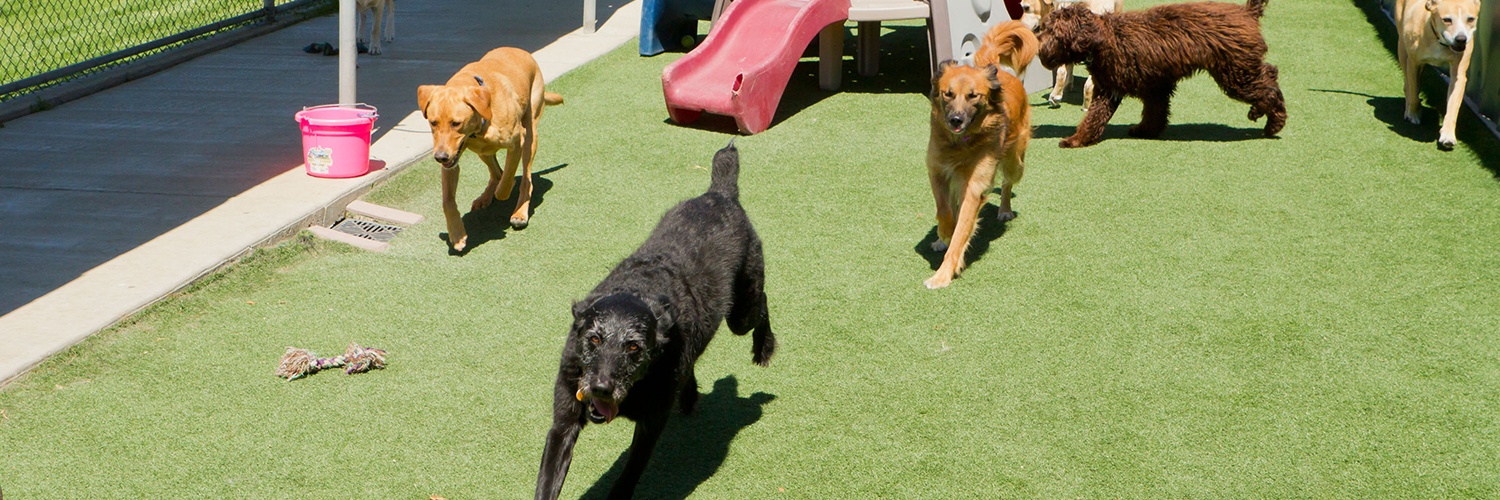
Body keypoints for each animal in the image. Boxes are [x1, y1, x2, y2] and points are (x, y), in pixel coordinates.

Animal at [417, 47, 563, 252]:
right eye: (433, 122)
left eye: (456, 123)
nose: (440, 157)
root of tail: (520, 51)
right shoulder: (452, 160)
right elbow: (447, 201)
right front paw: (457, 234)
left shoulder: (517, 142)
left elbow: (507, 178)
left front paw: (505, 191)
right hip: (482, 152)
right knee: (495, 172)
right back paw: (485, 197)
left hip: (530, 134)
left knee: (525, 178)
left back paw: (519, 211)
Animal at [535, 142, 777, 499]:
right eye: (593, 339)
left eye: (634, 347)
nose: (601, 388)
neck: (638, 290)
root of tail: (720, 193)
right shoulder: (563, 425)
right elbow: (547, 483)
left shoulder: (649, 427)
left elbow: (627, 478)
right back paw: (689, 396)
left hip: (741, 313)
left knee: (762, 303)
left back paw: (764, 348)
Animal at [925, 56, 1033, 289]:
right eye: (948, 93)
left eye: (973, 95)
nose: (956, 120)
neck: (960, 143)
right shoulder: (937, 170)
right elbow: (944, 211)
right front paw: (944, 233)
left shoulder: (974, 188)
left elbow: (960, 235)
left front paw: (942, 275)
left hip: (1015, 163)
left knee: (1007, 183)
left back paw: (1005, 209)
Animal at [1037, 0, 1287, 148]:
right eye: (1046, 27)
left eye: (1053, 32)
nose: (1038, 44)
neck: (1103, 38)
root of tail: (1247, 11)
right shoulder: (1153, 85)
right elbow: (1154, 112)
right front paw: (1145, 130)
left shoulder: (1111, 89)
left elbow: (1093, 117)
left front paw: (1075, 139)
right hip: (1240, 68)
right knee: (1270, 75)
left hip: (1236, 72)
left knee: (1268, 87)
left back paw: (1272, 122)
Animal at [1396, 0, 1481, 150]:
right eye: (1447, 20)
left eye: (1471, 19)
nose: (1461, 39)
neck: (1439, 41)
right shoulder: (1413, 63)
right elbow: (1413, 90)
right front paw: (1413, 113)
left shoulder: (1458, 76)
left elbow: (1453, 106)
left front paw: (1448, 135)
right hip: (1402, 49)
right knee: (1408, 85)